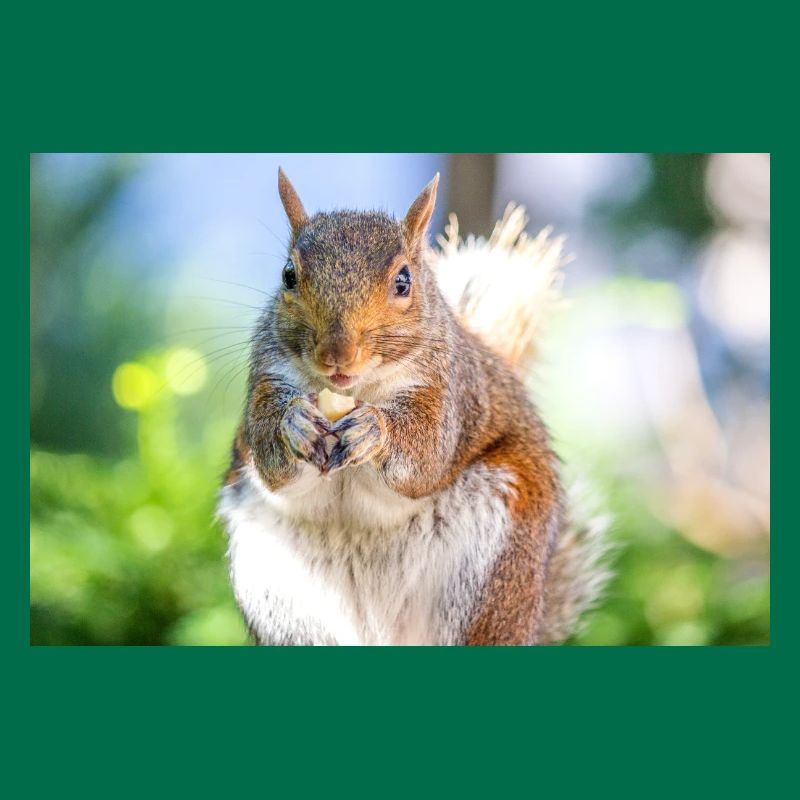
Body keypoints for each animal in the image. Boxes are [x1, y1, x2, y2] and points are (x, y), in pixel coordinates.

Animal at [218, 168, 610, 645]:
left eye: (404, 281)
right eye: (288, 275)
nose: (337, 355)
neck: (359, 390)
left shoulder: (449, 393)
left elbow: (425, 456)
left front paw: (375, 429)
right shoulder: (267, 378)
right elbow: (271, 457)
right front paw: (294, 424)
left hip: (493, 574)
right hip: (283, 598)